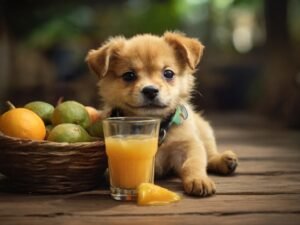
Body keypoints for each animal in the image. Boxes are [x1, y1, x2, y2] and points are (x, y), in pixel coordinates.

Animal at [86, 31, 239, 197]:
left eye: (168, 73)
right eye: (129, 75)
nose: (150, 90)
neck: (156, 125)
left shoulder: (188, 145)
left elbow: (193, 163)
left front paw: (198, 179)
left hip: (205, 130)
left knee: (210, 154)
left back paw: (223, 160)